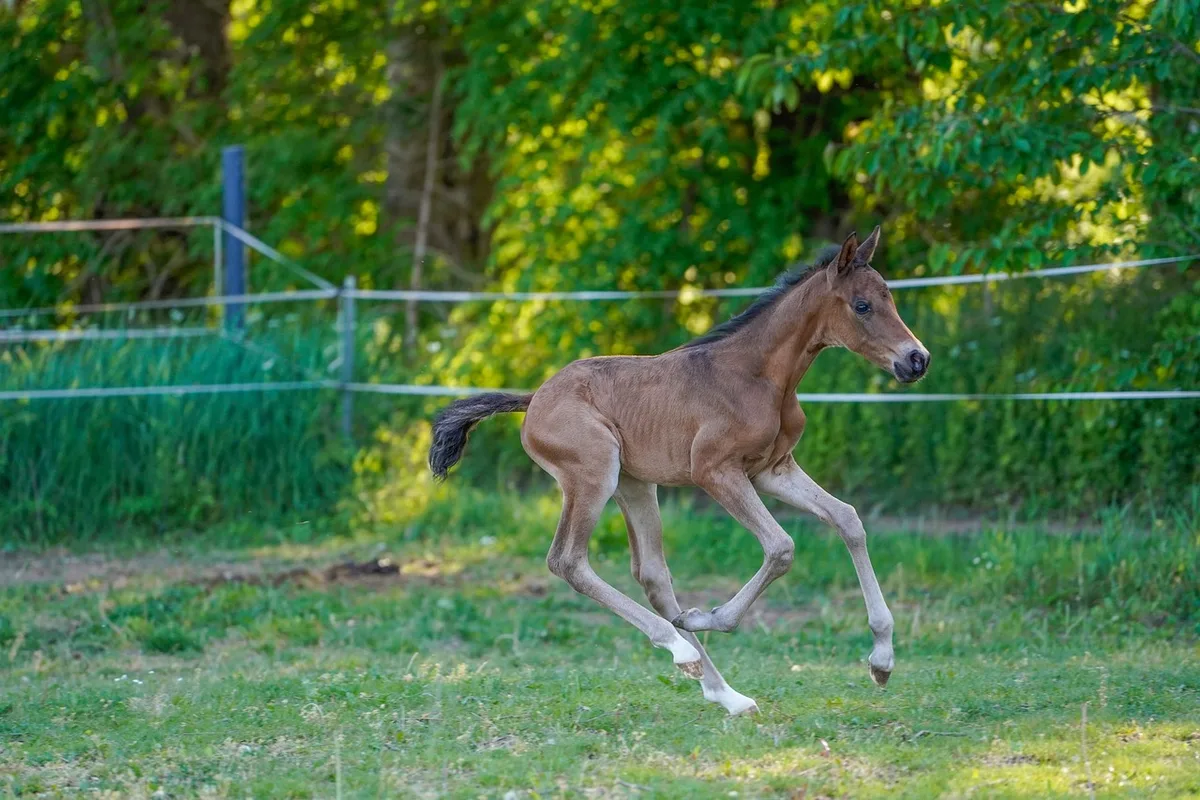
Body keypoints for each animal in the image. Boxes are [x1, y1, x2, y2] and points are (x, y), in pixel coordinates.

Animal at [427, 226, 929, 715]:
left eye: (890, 298)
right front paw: (709, 617)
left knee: (652, 573)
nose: (916, 360)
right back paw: (681, 645)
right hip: (594, 474)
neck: (759, 376)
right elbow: (781, 547)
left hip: (635, 485)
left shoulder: (773, 470)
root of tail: (534, 399)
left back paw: (725, 692)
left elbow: (848, 519)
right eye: (862, 305)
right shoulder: (715, 472)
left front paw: (882, 660)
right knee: (568, 561)